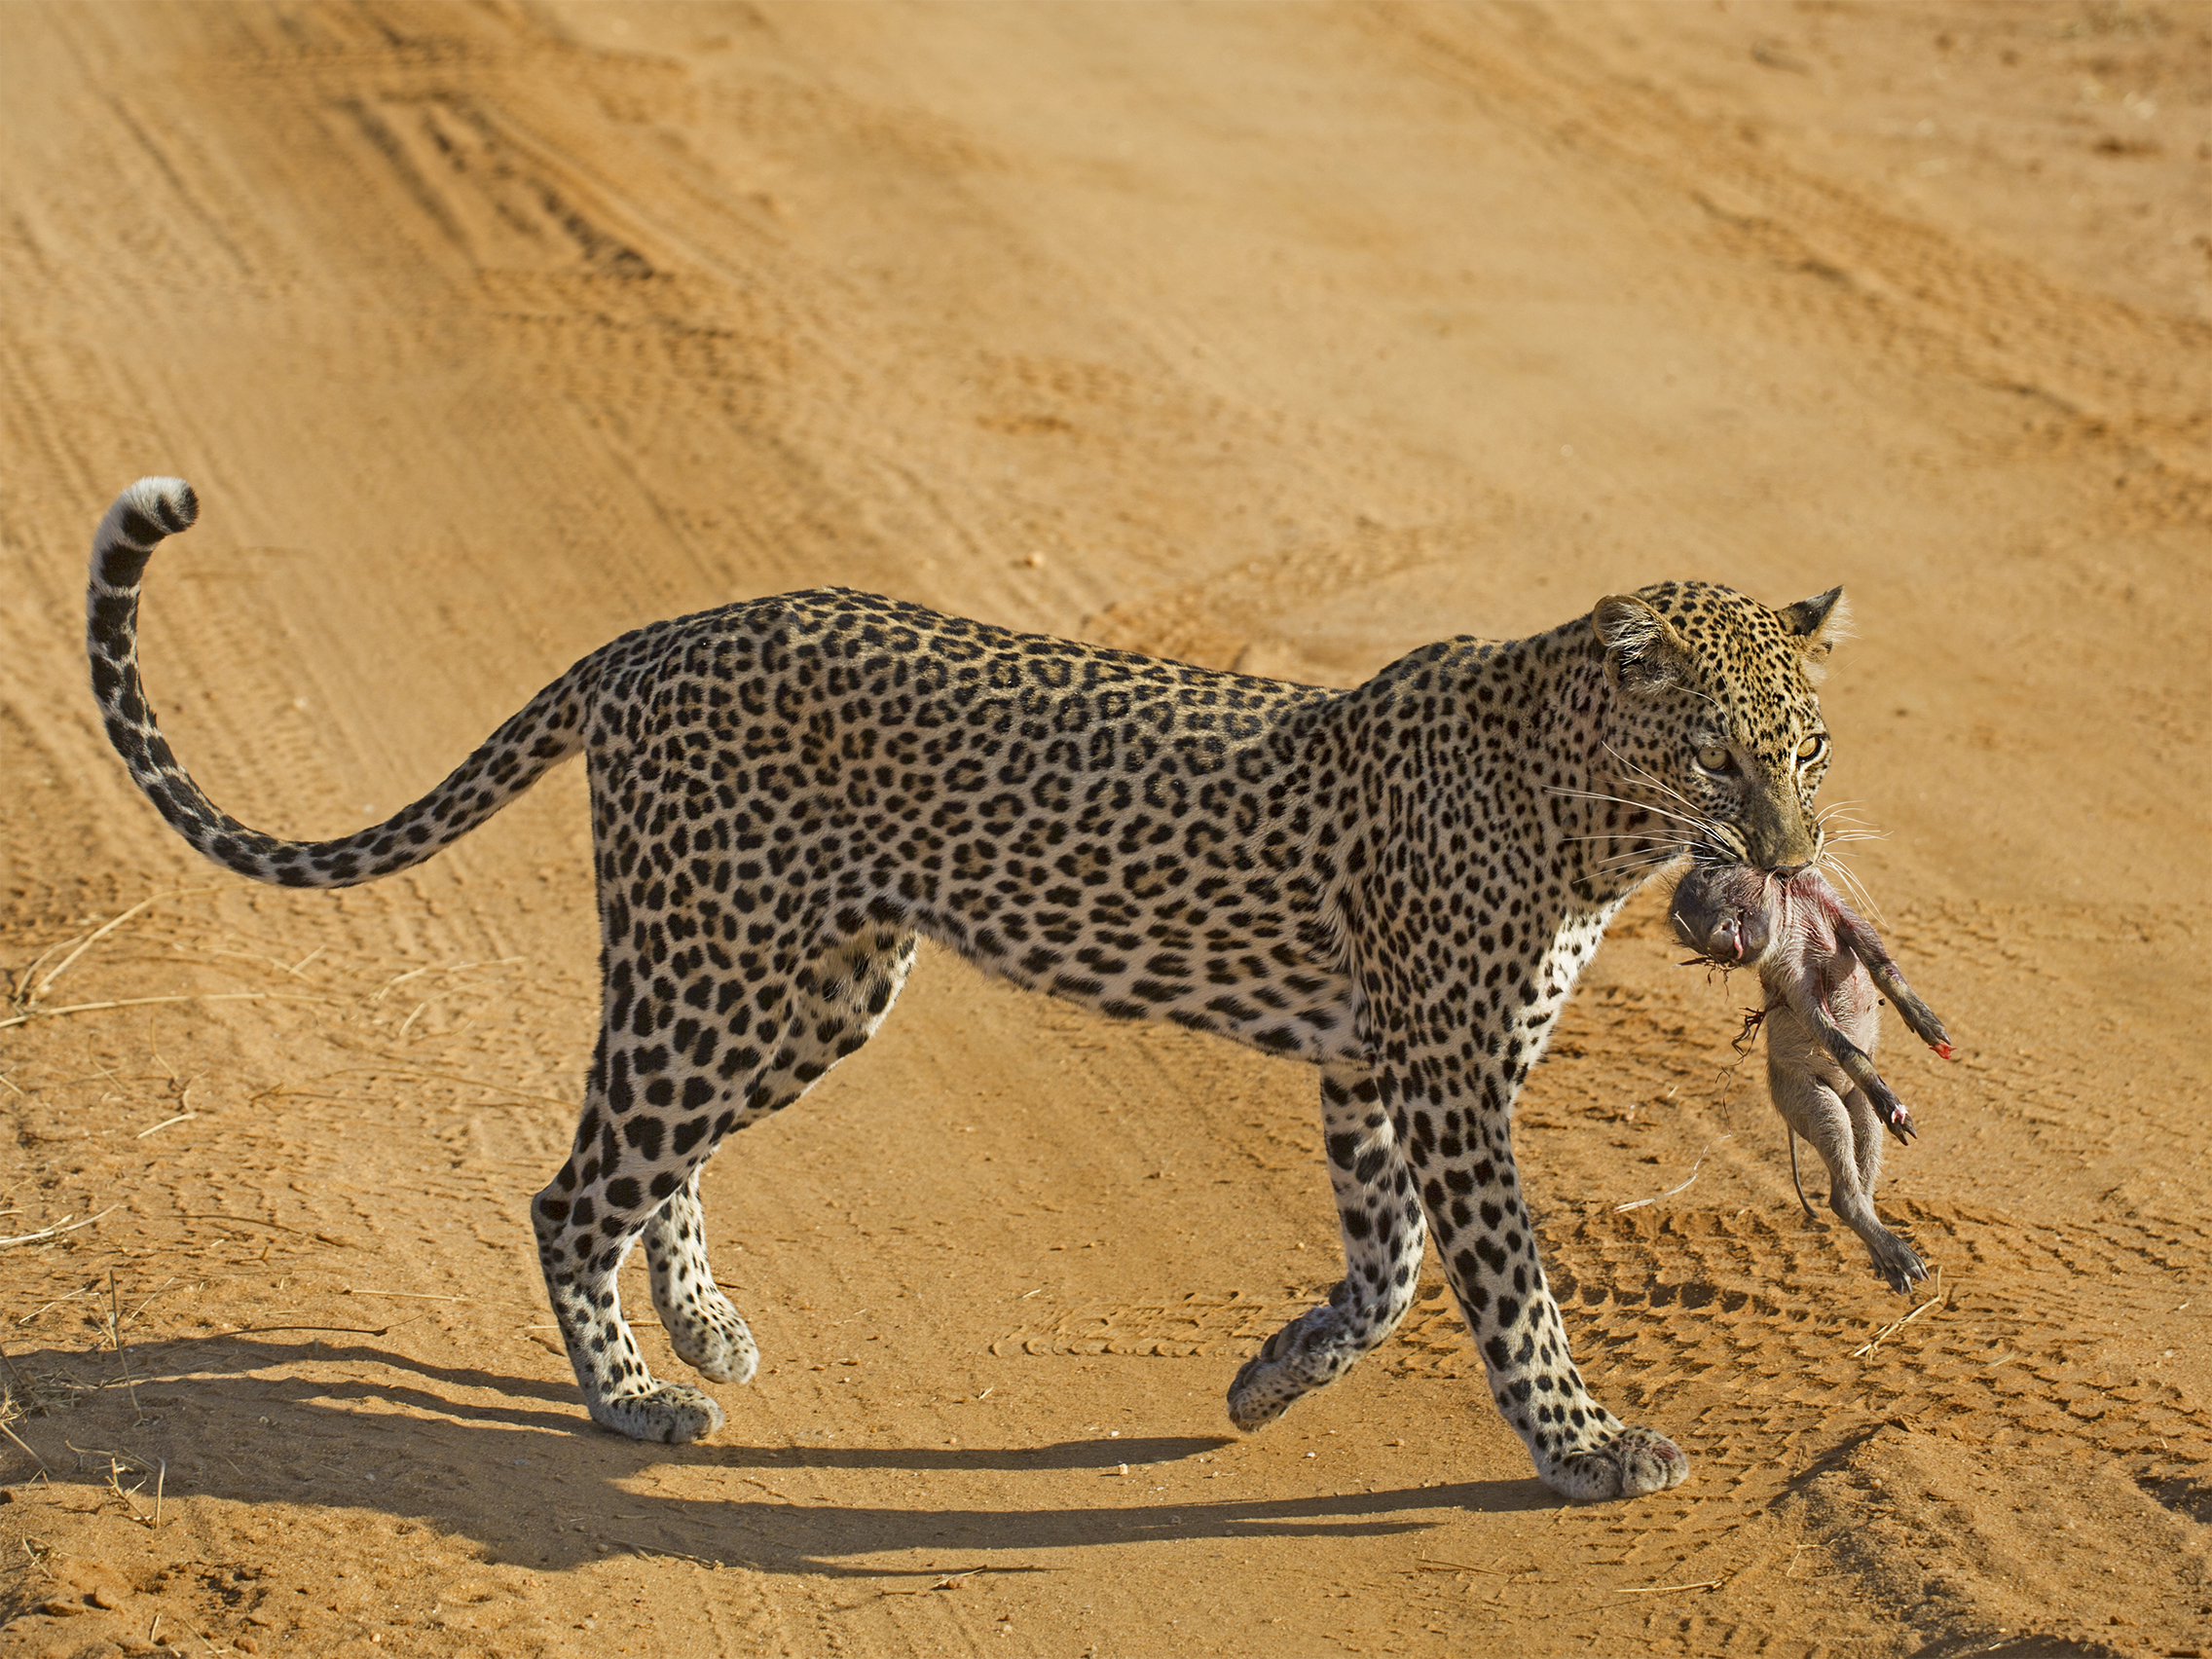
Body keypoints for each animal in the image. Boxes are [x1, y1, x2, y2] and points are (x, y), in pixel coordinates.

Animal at [85, 475, 1851, 1503]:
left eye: (1810, 745)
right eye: (1719, 753)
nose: (1796, 846)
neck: (1588, 809)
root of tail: (655, 636)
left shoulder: (1369, 1068)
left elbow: (1391, 1263)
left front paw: (1270, 1373)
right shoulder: (1444, 1073)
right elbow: (1501, 1280)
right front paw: (1585, 1444)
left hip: (802, 982)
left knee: (651, 1162)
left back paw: (703, 1325)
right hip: (721, 968)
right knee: (570, 1188)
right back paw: (635, 1402)